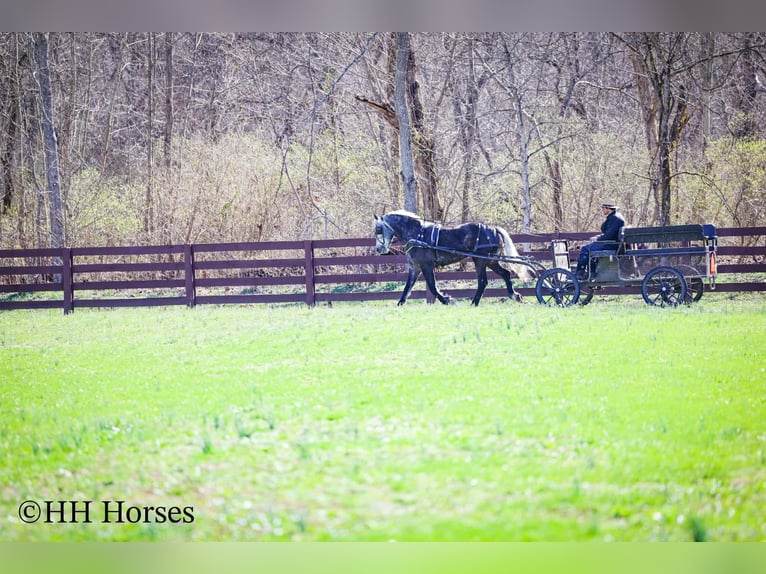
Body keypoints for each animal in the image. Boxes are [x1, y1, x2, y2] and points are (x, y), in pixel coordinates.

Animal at [374, 210, 534, 306]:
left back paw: (474, 303)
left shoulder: (426, 266)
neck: (417, 234)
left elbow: (432, 287)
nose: (379, 249)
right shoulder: (415, 268)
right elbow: (408, 287)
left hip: (480, 260)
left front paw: (447, 300)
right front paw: (400, 303)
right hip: (491, 261)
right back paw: (514, 295)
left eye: (378, 229)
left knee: (483, 281)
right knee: (505, 274)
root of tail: (494, 229)